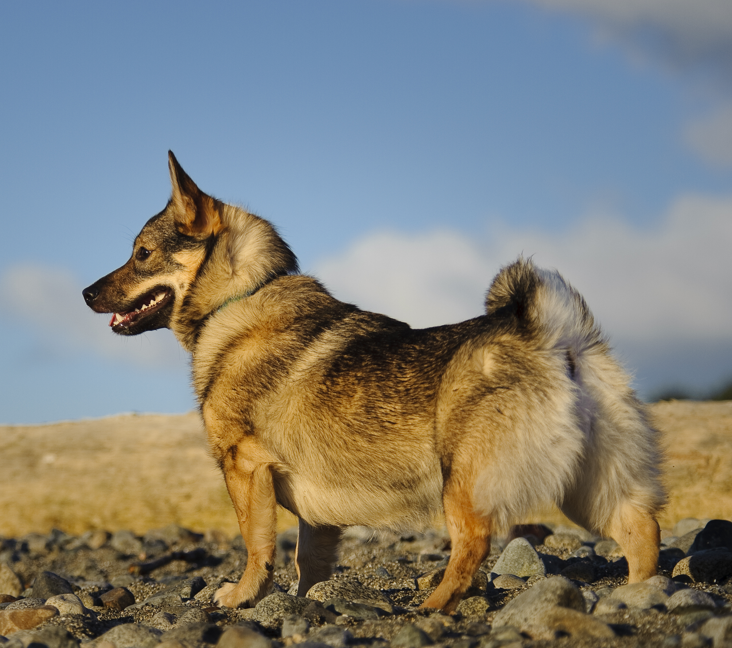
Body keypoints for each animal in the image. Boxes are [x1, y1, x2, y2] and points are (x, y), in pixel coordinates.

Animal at [83, 152, 668, 612]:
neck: (241, 296)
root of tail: (550, 334)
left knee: (473, 547)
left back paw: (432, 607)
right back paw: (636, 596)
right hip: (592, 487)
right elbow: (308, 561)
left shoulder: (244, 468)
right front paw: (303, 601)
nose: (86, 293)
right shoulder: (312, 514)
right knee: (643, 533)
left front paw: (242, 596)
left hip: (464, 480)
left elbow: (256, 546)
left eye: (141, 254)